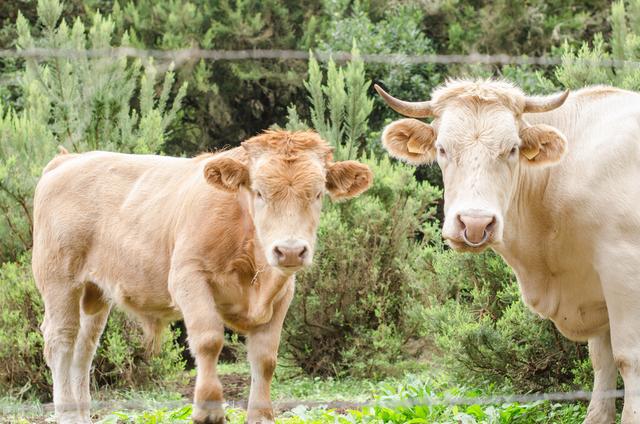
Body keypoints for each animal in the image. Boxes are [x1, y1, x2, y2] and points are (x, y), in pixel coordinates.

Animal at [32, 131, 372, 422]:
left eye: (317, 194)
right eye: (259, 192)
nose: (289, 251)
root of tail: (69, 159)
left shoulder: (282, 293)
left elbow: (265, 358)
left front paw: (261, 416)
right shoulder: (188, 277)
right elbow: (209, 340)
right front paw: (209, 411)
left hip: (94, 293)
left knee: (84, 348)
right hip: (60, 279)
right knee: (61, 341)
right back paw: (66, 413)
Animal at [378, 80, 640, 424]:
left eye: (512, 149)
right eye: (442, 148)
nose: (475, 223)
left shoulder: (622, 268)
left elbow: (628, 358)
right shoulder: (594, 286)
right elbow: (601, 359)